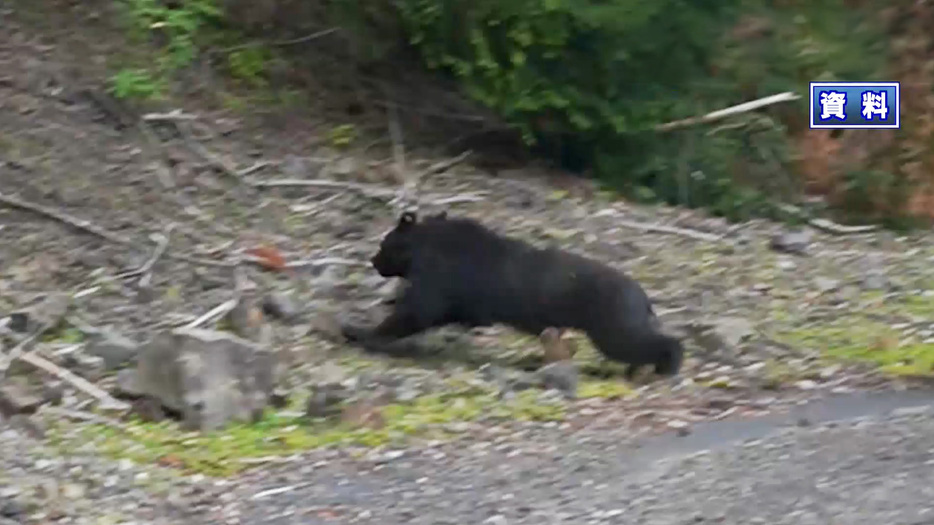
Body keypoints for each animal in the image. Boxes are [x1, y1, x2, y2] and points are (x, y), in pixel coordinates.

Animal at [340, 211, 684, 378]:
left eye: (383, 244)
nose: (374, 261)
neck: (425, 250)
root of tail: (643, 298)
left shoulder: (440, 280)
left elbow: (416, 311)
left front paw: (358, 332)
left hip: (610, 319)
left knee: (637, 341)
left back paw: (667, 365)